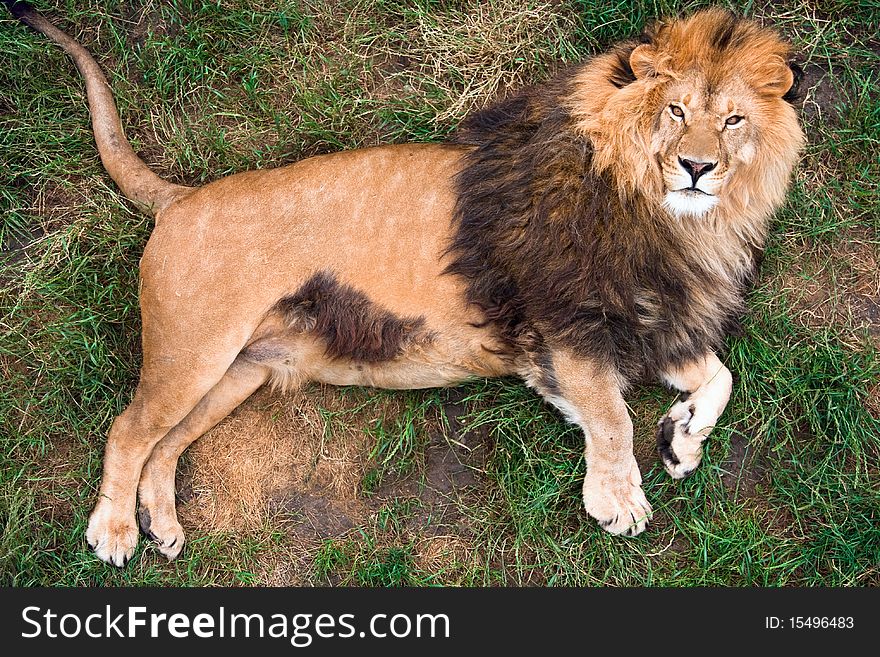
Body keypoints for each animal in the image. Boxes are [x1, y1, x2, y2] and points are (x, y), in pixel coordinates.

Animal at [5, 1, 804, 564]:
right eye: (675, 110)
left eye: (734, 120)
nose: (698, 167)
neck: (673, 219)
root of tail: (178, 199)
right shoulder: (562, 324)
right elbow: (612, 417)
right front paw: (619, 499)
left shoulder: (649, 320)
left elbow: (718, 377)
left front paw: (682, 439)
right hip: (192, 348)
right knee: (128, 429)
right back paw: (114, 531)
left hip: (239, 370)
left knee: (165, 443)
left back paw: (163, 523)